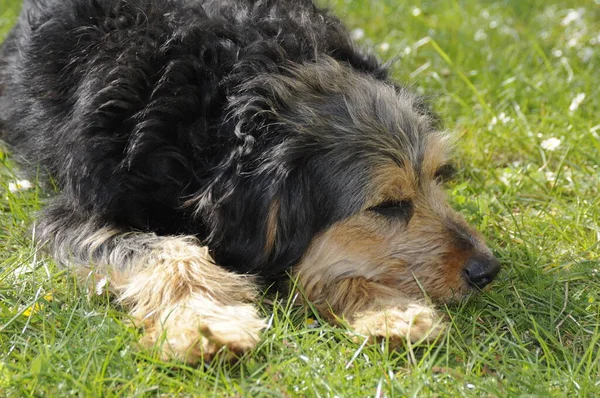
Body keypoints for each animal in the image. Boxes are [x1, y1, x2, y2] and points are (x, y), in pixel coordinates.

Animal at [0, 0, 502, 364]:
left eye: (438, 177)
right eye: (387, 206)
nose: (488, 270)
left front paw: (390, 311)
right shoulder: (73, 214)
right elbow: (167, 253)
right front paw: (205, 325)